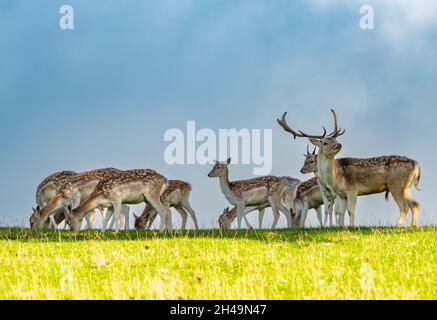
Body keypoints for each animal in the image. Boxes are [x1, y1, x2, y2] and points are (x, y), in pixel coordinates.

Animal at [278, 110, 420, 228]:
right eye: (325, 142)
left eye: (335, 139)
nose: (339, 144)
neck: (337, 177)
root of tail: (417, 164)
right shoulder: (342, 195)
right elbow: (341, 212)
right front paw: (341, 228)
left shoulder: (352, 189)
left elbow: (350, 211)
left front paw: (352, 228)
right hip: (406, 187)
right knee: (415, 205)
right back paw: (412, 227)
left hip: (396, 185)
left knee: (404, 207)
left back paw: (398, 227)